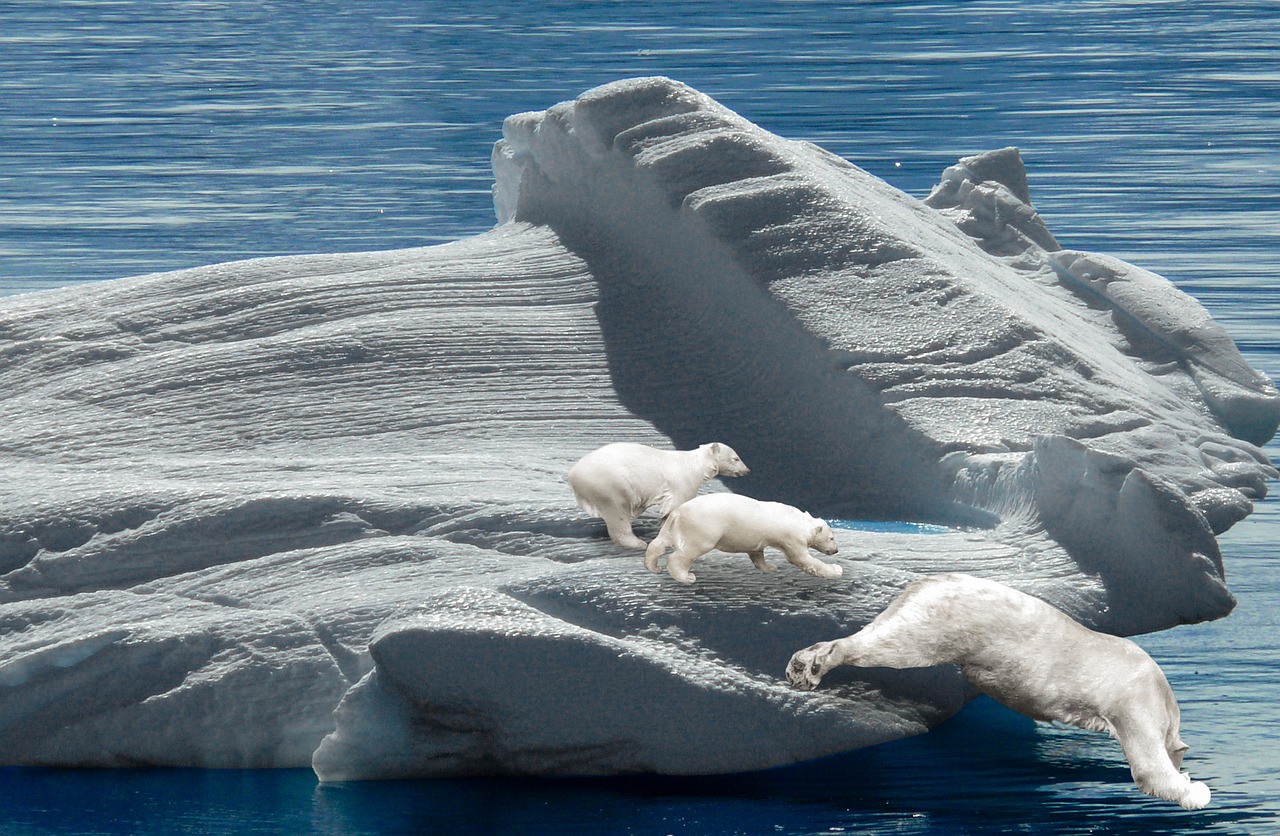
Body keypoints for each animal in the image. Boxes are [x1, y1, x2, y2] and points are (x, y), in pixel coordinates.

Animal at [570, 440, 747, 550]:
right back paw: (638, 543)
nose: (747, 470)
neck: (695, 464)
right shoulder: (683, 482)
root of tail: (573, 475)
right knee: (618, 511)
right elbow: (675, 505)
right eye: (736, 458)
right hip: (610, 483)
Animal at [640, 491, 839, 583]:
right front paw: (835, 570)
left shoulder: (760, 538)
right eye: (831, 538)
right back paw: (685, 576)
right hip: (703, 528)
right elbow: (802, 559)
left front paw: (770, 567)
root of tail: (677, 513)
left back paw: (653, 567)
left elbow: (757, 552)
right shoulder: (791, 538)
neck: (798, 520)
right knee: (686, 552)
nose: (836, 550)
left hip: (673, 527)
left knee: (659, 543)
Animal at [783, 573, 1213, 809]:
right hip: (940, 628)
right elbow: (1150, 769)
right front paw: (1195, 790)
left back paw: (800, 666)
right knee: (885, 646)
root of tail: (929, 581)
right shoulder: (1133, 702)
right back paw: (815, 666)